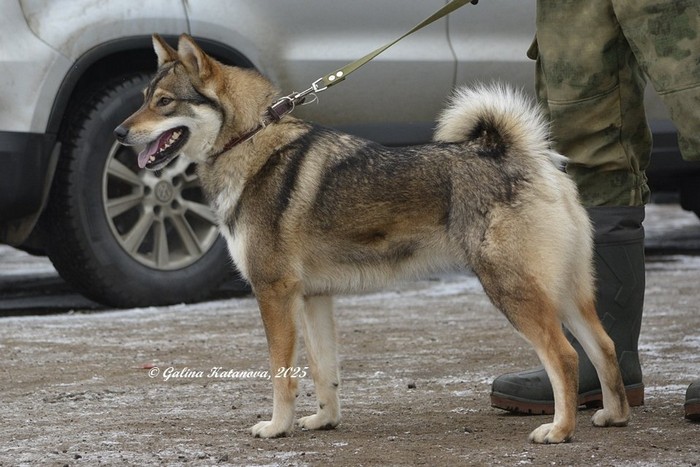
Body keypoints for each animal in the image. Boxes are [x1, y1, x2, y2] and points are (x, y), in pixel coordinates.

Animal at [115, 34, 630, 443]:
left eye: (165, 102)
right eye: (143, 97)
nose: (120, 132)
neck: (250, 142)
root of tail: (524, 157)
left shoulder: (274, 294)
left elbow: (283, 374)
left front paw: (277, 427)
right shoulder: (313, 298)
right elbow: (324, 371)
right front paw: (324, 421)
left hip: (513, 290)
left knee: (565, 355)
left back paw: (560, 430)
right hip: (565, 293)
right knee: (604, 346)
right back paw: (614, 415)